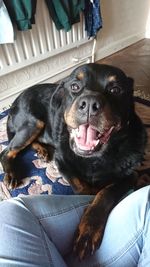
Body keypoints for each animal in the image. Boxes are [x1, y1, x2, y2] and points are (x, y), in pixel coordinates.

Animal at [0, 62, 148, 260]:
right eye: (75, 87)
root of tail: (16, 101)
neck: (96, 157)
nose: (90, 104)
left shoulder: (130, 174)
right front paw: (88, 201)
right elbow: (82, 188)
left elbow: (107, 193)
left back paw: (42, 150)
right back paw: (12, 173)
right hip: (32, 122)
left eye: (116, 89)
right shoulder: (63, 162)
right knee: (7, 151)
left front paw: (88, 230)